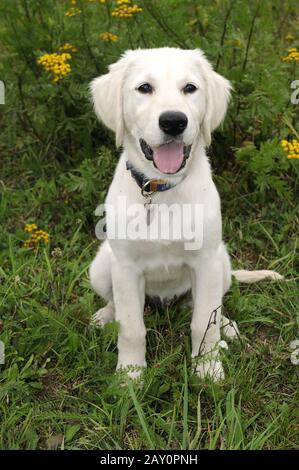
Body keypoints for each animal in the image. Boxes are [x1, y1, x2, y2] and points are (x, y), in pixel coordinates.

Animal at [89, 47, 284, 382]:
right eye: (144, 88)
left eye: (190, 88)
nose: (173, 122)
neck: (161, 191)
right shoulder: (125, 267)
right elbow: (131, 327)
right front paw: (129, 376)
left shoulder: (206, 261)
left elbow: (204, 321)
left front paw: (207, 369)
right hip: (101, 267)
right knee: (117, 303)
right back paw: (105, 316)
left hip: (221, 264)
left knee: (211, 308)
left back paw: (227, 328)